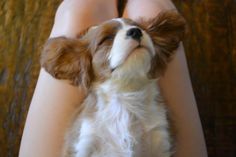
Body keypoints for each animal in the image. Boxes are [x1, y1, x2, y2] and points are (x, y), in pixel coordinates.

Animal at [41, 11, 187, 157]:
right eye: (107, 38)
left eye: (141, 28)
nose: (135, 31)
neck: (125, 97)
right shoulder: (85, 140)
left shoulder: (160, 136)